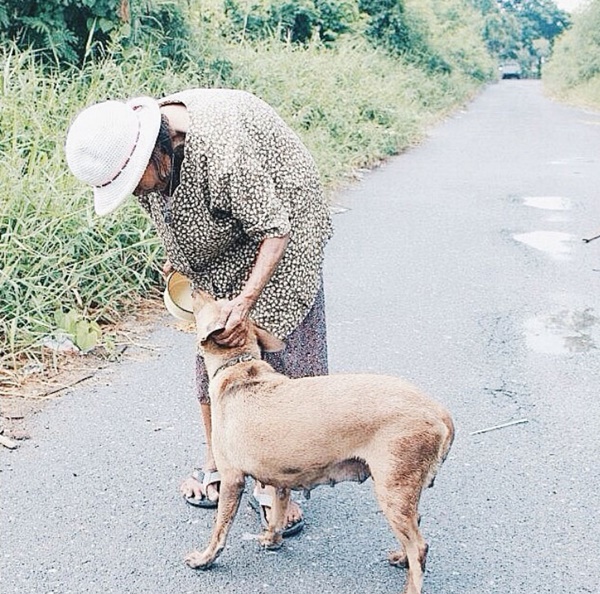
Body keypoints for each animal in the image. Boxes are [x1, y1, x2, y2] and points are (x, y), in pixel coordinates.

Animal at [185, 292, 452, 592]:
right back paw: (401, 557)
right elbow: (277, 514)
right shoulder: (281, 480)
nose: (195, 290)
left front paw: (205, 558)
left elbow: (220, 529)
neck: (240, 368)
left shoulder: (232, 479)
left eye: (217, 301)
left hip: (393, 491)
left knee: (419, 546)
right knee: (416, 527)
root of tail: (438, 412)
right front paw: (272, 539)